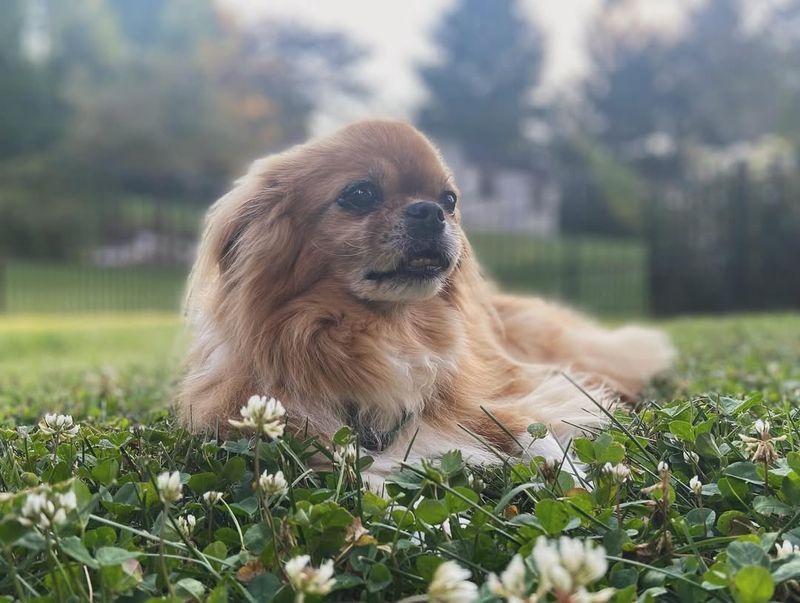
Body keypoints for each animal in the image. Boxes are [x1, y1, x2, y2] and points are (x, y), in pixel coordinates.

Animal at [177, 120, 676, 484]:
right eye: (360, 194)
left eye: (450, 200)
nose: (431, 211)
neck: (385, 330)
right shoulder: (310, 436)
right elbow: (364, 479)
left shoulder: (491, 400)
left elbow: (535, 432)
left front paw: (578, 482)